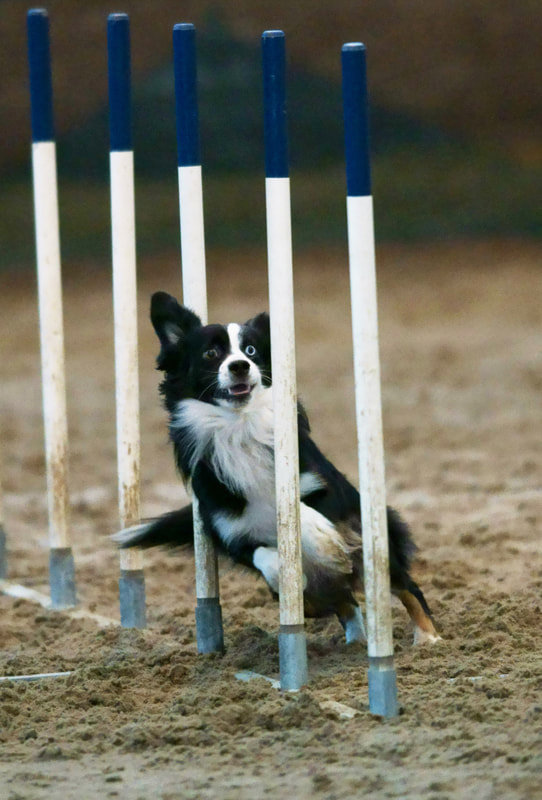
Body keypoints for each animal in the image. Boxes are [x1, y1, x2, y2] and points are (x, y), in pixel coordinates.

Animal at [116, 290, 442, 648]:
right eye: (211, 353)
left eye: (251, 350)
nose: (240, 366)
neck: (239, 427)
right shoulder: (231, 531)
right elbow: (264, 556)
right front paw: (290, 577)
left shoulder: (324, 490)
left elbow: (303, 512)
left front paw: (325, 543)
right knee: (343, 602)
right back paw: (351, 634)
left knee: (405, 588)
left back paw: (427, 638)